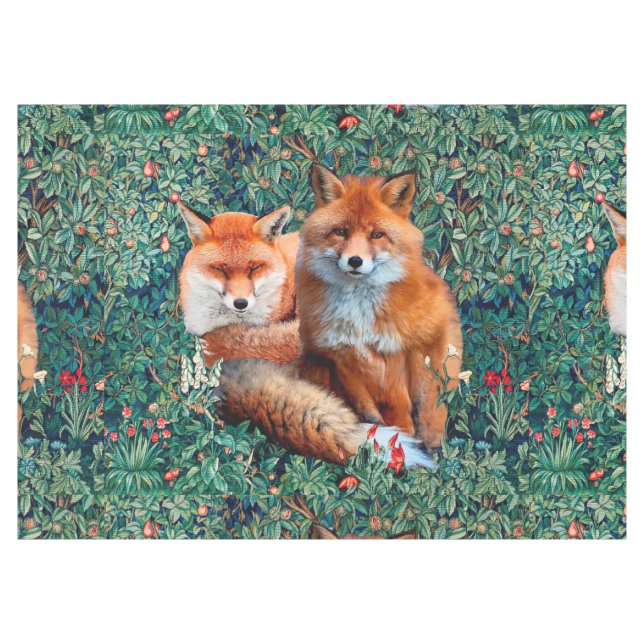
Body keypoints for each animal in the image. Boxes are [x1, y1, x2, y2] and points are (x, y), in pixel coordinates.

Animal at [217, 165, 463, 467]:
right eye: (341, 232)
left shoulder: (406, 351)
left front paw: (413, 443)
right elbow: (371, 413)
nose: (355, 261)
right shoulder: (339, 357)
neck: (360, 316)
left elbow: (410, 407)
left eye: (377, 235)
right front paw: (387, 444)